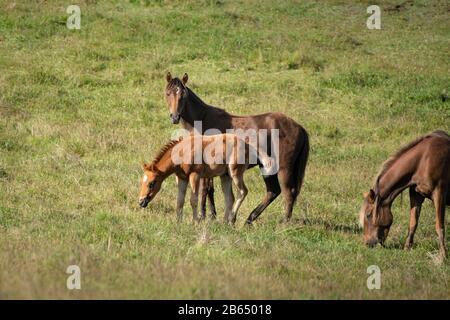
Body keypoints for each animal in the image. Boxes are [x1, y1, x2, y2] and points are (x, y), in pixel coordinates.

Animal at [137, 134, 272, 224]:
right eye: (142, 182)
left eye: (152, 183)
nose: (141, 202)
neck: (182, 151)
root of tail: (248, 145)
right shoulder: (181, 178)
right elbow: (180, 201)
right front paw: (178, 222)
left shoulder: (195, 175)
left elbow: (193, 200)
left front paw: (196, 222)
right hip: (225, 176)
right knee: (229, 198)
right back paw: (224, 222)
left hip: (235, 173)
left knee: (243, 192)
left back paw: (231, 220)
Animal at [165, 72, 310, 225]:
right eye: (168, 93)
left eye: (183, 95)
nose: (175, 117)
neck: (202, 120)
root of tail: (299, 128)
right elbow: (210, 189)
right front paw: (212, 215)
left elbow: (204, 189)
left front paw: (203, 216)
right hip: (267, 167)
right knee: (273, 191)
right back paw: (249, 219)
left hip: (284, 168)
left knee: (288, 192)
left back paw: (283, 223)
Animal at [358, 130, 450, 258]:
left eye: (368, 215)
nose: (367, 243)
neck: (423, 161)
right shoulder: (416, 195)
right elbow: (413, 223)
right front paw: (407, 248)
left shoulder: (439, 194)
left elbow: (439, 226)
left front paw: (443, 256)